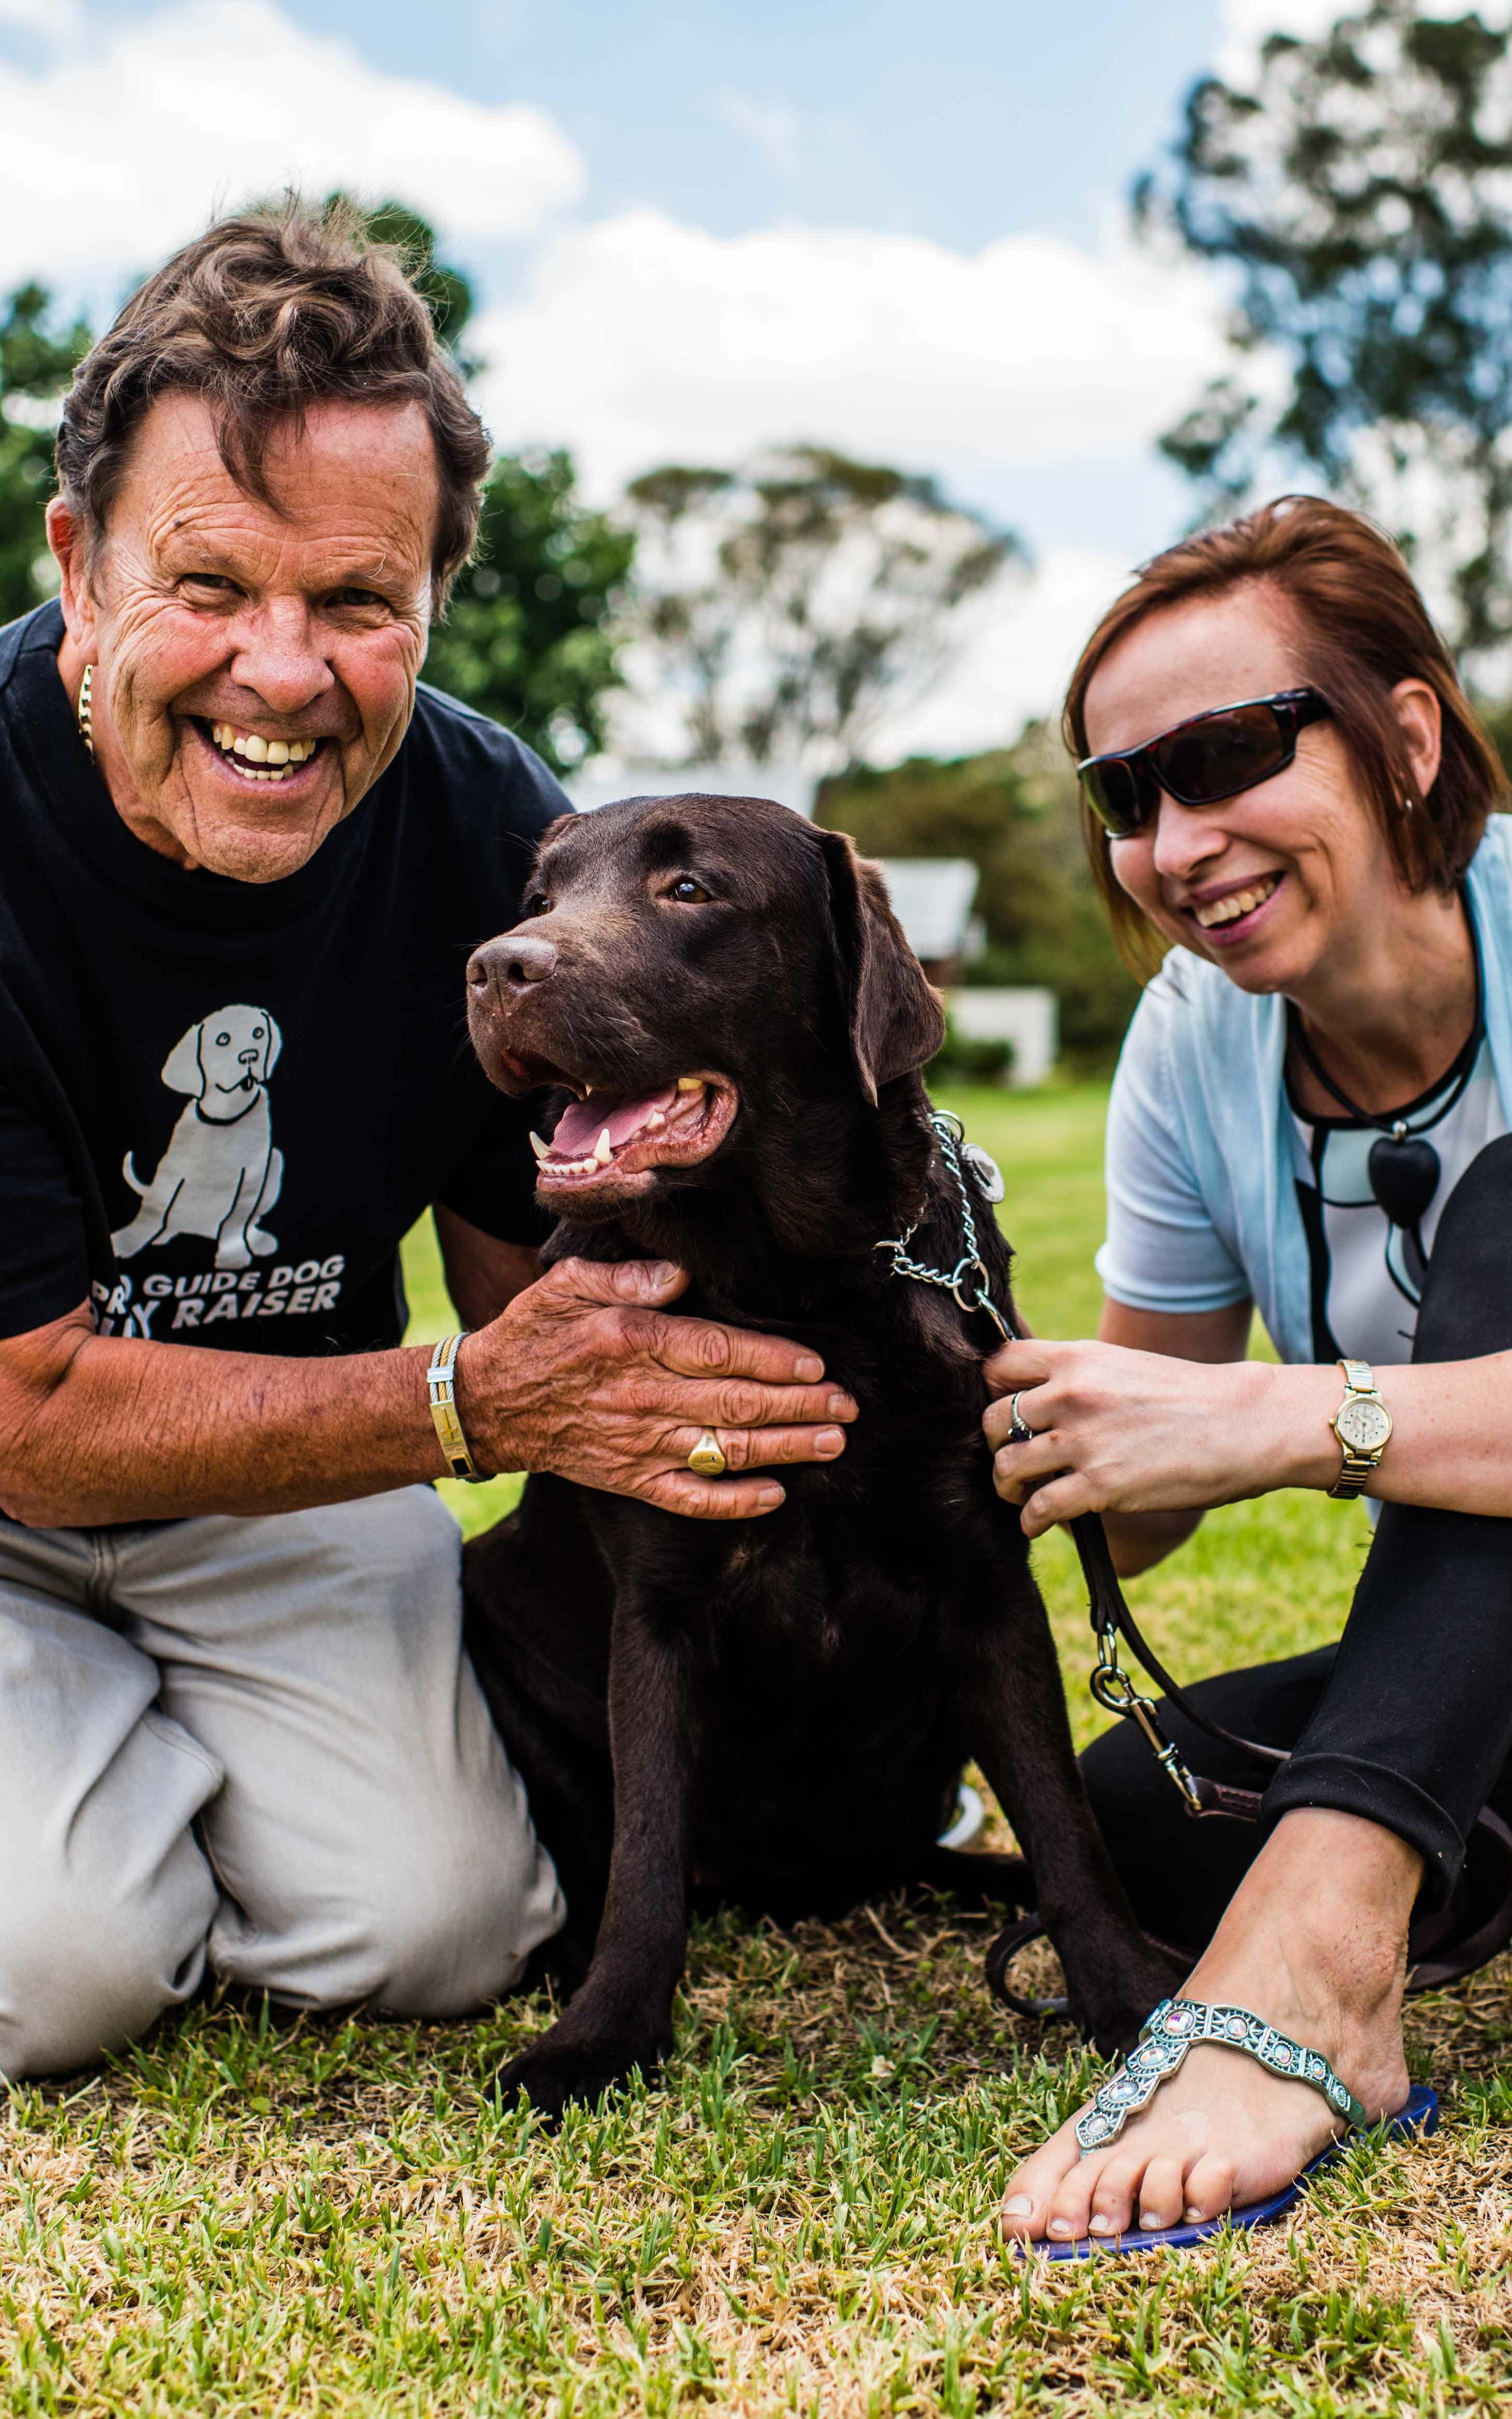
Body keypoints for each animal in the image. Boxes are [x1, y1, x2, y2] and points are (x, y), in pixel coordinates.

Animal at [462, 798, 1181, 2119]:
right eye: (539, 901)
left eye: (689, 888)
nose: (495, 967)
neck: (796, 1290)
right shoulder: (655, 1607)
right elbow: (647, 1847)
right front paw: (601, 2036)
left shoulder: (990, 1583)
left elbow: (1063, 1821)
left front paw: (1128, 1991)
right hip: (492, 1594)